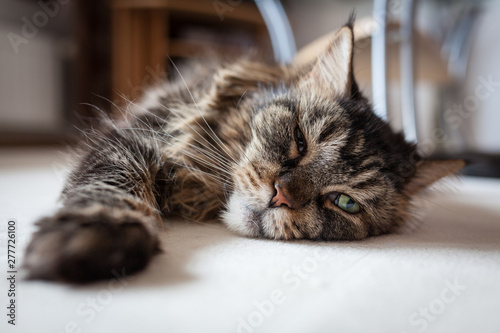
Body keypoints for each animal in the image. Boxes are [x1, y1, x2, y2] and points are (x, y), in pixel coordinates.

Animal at [24, 20, 464, 282]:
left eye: (344, 202)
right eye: (299, 140)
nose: (280, 195)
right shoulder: (133, 140)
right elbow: (113, 184)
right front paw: (98, 234)